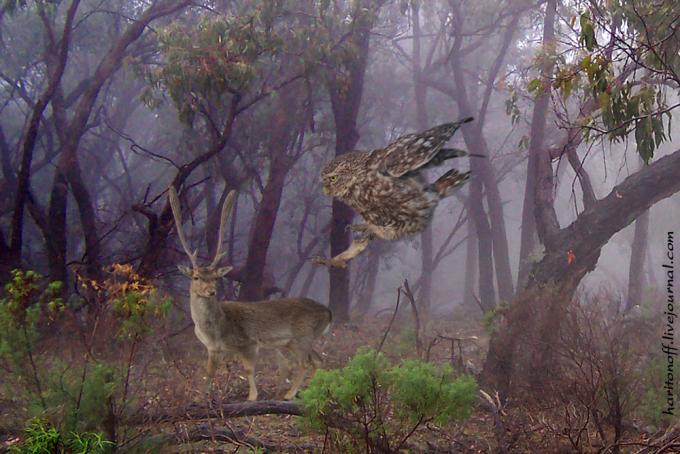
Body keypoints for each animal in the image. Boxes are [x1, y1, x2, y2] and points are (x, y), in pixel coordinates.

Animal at [167, 185, 332, 400]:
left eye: (216, 277)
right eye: (195, 277)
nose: (211, 291)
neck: (217, 329)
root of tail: (329, 313)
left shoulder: (248, 342)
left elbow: (248, 370)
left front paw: (252, 396)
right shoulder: (213, 348)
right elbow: (209, 372)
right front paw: (200, 397)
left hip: (302, 336)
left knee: (305, 362)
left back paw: (290, 393)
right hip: (296, 341)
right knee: (317, 360)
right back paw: (307, 391)